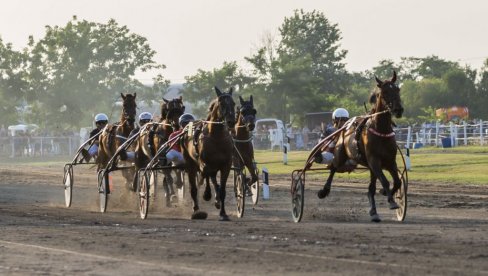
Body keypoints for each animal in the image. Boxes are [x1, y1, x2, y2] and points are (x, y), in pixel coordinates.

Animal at [180, 86, 235, 220]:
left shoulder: (226, 165)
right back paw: (196, 210)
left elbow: (222, 190)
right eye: (221, 103)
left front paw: (223, 213)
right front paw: (206, 194)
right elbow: (205, 174)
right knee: (194, 187)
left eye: (233, 103)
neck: (216, 137)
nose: (231, 121)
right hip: (190, 164)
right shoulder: (204, 163)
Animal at [316, 71, 404, 222]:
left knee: (371, 188)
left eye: (397, 89)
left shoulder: (390, 161)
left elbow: (397, 182)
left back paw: (374, 212)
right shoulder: (374, 160)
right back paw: (324, 190)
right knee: (333, 167)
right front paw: (392, 201)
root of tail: (344, 129)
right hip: (340, 155)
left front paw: (386, 194)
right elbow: (385, 181)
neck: (381, 131)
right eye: (385, 92)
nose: (398, 110)